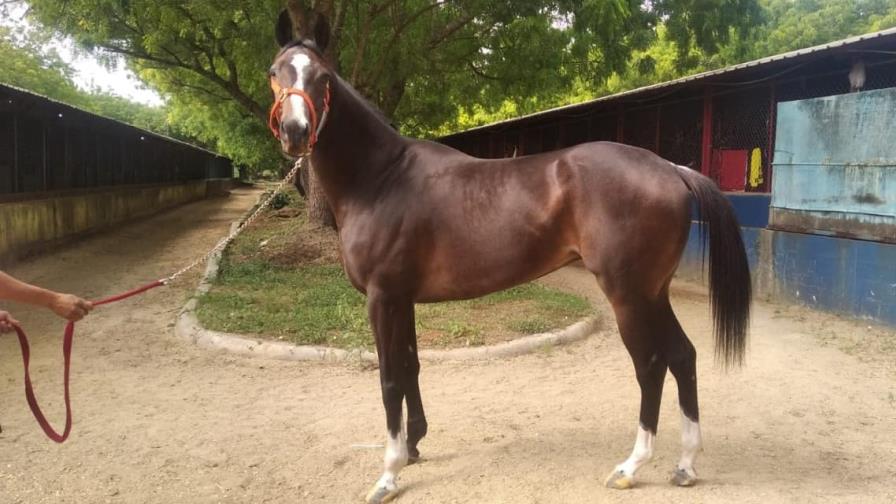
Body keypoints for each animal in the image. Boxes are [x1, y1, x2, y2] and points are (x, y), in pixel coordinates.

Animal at [268, 10, 751, 503]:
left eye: (323, 77)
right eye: (275, 72)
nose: (295, 132)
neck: (382, 178)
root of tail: (670, 168)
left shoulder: (382, 299)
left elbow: (388, 380)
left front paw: (389, 473)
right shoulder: (402, 299)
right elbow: (410, 367)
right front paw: (415, 445)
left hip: (628, 295)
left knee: (651, 366)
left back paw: (631, 466)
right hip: (654, 293)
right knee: (683, 356)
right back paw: (686, 464)